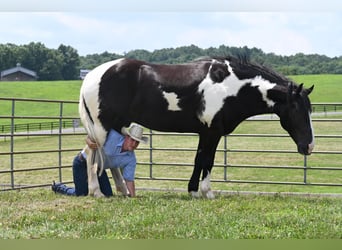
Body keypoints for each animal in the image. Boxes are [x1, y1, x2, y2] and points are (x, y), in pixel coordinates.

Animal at [79, 55, 314, 198]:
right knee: (92, 154)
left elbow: (198, 160)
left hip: (115, 126)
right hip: (101, 127)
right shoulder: (212, 132)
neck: (230, 86)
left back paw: (123, 191)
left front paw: (193, 191)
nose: (309, 146)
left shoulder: (205, 133)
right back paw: (97, 192)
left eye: (309, 109)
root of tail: (90, 76)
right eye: (297, 109)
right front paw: (207, 192)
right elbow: (207, 161)